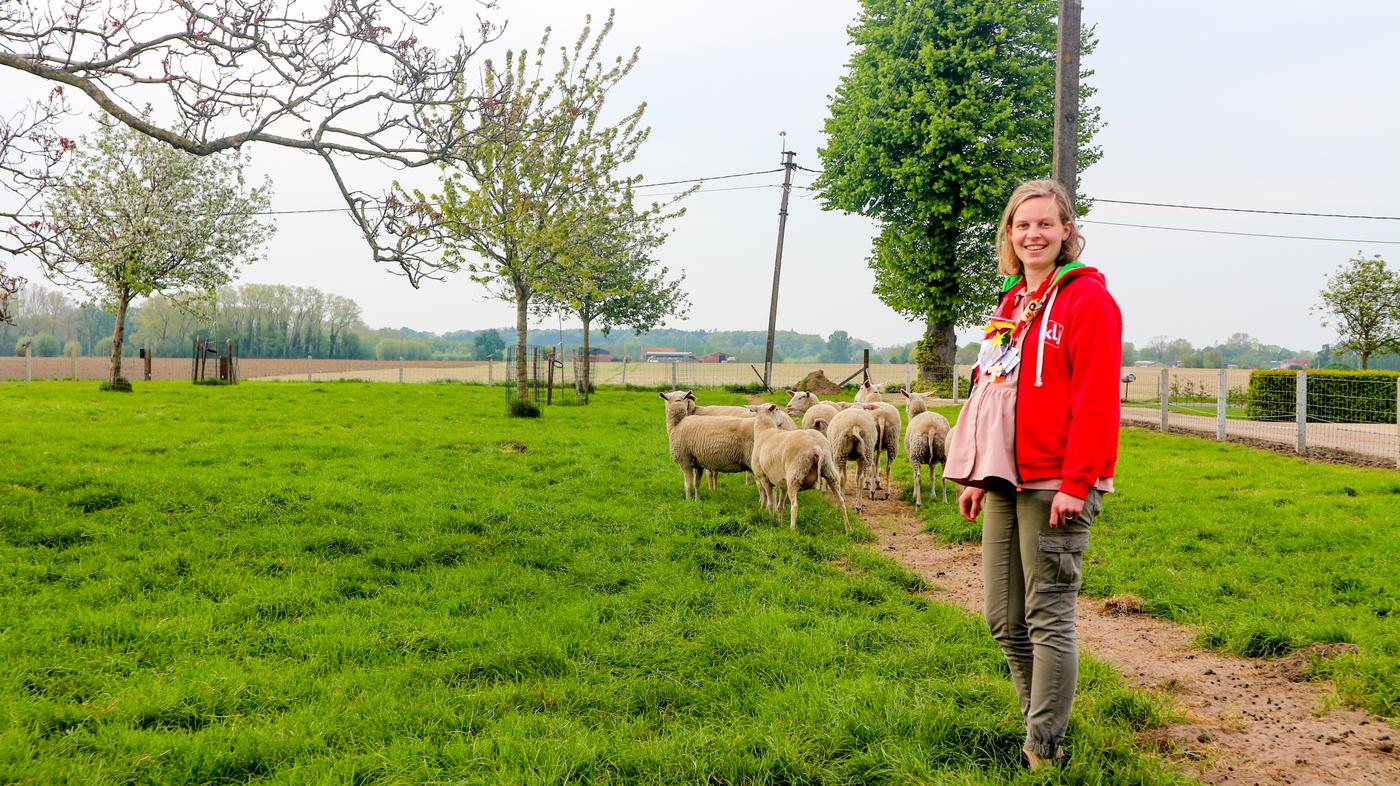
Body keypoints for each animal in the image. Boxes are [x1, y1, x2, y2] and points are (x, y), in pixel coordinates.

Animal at [750, 403, 845, 532]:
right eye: (777, 410)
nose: (784, 418)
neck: (764, 431)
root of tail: (816, 448)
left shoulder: (764, 478)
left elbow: (770, 504)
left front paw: (771, 521)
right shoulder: (782, 484)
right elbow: (780, 506)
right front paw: (779, 523)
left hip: (795, 476)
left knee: (794, 506)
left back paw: (792, 530)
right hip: (829, 470)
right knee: (841, 502)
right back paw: (849, 530)